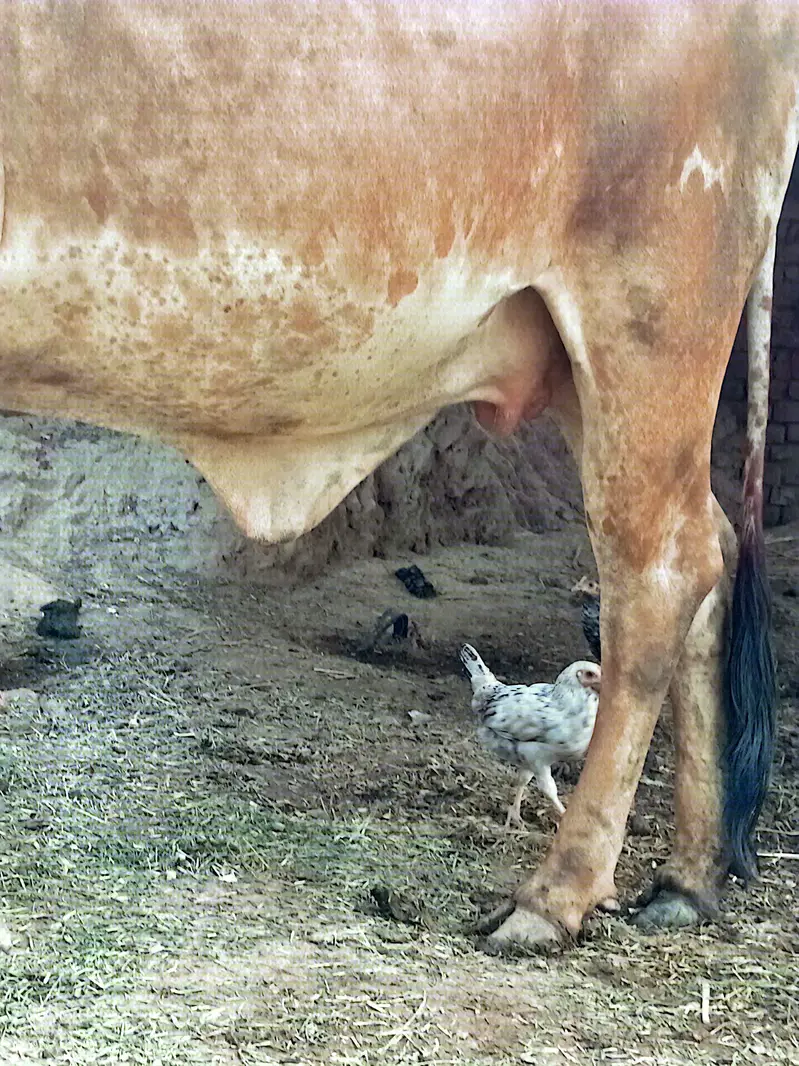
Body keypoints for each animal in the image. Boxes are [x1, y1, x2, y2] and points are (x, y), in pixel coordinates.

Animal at [1, 1, 797, 954]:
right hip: (581, 367)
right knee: (708, 552)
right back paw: (685, 878)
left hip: (649, 320)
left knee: (660, 574)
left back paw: (552, 897)